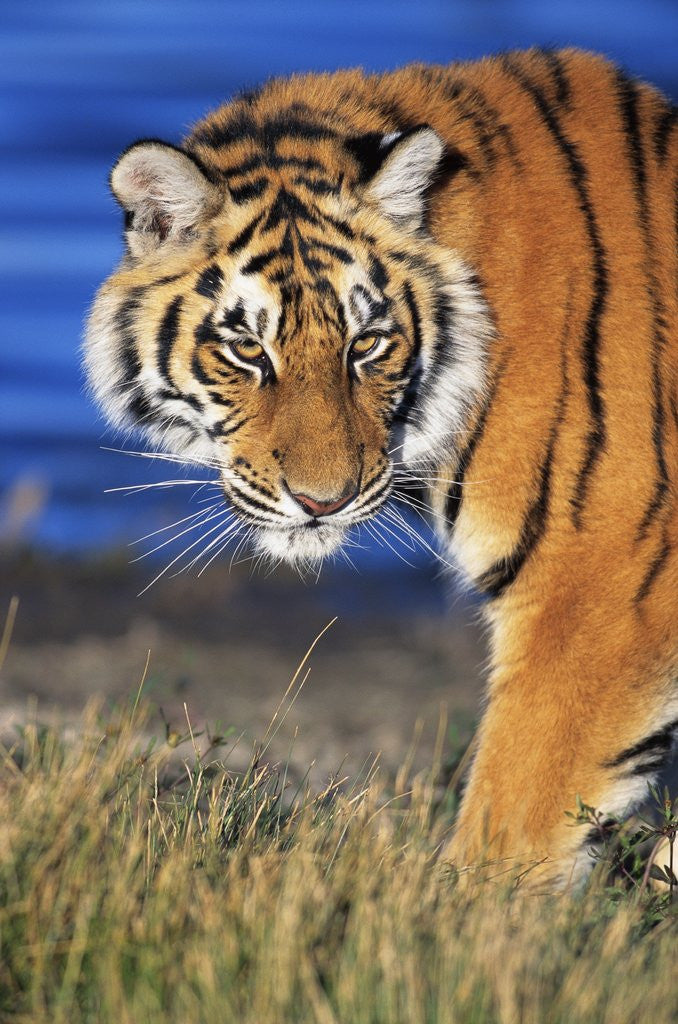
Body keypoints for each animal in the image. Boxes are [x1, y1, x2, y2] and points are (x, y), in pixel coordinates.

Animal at [84, 47, 678, 887]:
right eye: (247, 349)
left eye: (365, 344)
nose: (320, 503)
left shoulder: (598, 589)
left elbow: (514, 818)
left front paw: (469, 913)